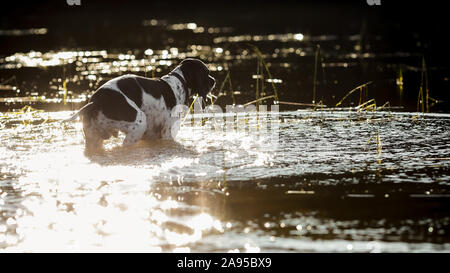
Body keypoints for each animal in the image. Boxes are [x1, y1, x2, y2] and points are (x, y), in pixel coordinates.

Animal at [66, 58, 217, 152]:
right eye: (207, 72)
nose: (214, 80)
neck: (179, 82)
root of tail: (95, 102)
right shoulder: (167, 134)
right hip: (138, 124)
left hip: (93, 138)